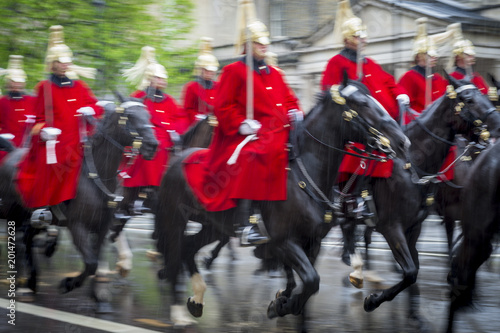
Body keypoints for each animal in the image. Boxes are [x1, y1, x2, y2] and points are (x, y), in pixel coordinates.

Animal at [0, 98, 157, 308]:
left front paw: (97, 294)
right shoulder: (77, 226)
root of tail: (13, 153)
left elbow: (95, 260)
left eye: (148, 115)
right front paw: (68, 284)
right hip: (11, 211)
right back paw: (25, 283)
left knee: (25, 240)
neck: (96, 175)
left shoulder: (102, 226)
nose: (152, 145)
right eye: (129, 116)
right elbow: (90, 262)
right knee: (19, 241)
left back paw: (30, 283)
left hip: (28, 218)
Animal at [154, 77, 408, 326]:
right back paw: (177, 312)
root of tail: (178, 157)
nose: (403, 142)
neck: (304, 175)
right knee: (174, 255)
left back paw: (196, 299)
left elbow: (308, 286)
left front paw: (283, 302)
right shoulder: (283, 242)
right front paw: (281, 304)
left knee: (188, 247)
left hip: (214, 227)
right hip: (173, 220)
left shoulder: (312, 242)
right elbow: (311, 280)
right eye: (363, 104)